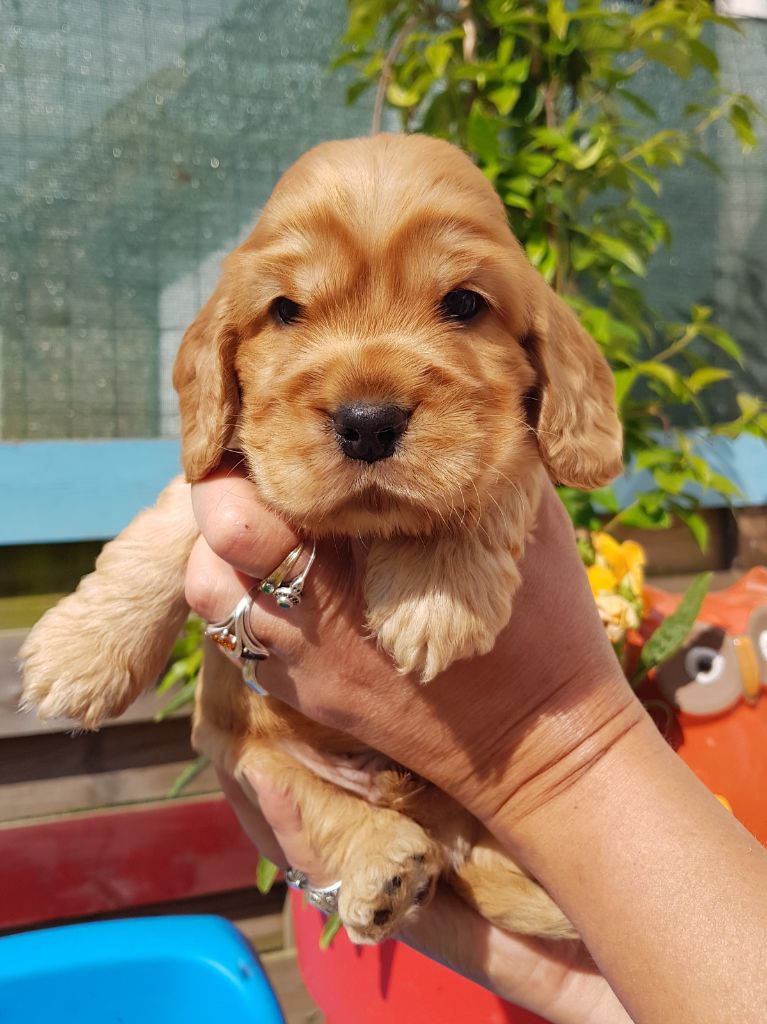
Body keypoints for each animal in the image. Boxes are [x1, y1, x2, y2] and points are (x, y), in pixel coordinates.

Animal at [19, 134, 622, 942]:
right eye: (285, 310)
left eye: (464, 303)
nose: (368, 421)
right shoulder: (232, 462)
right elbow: (169, 521)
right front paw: (81, 653)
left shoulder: (512, 442)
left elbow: (496, 469)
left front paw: (436, 593)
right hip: (244, 750)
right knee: (325, 802)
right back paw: (384, 867)